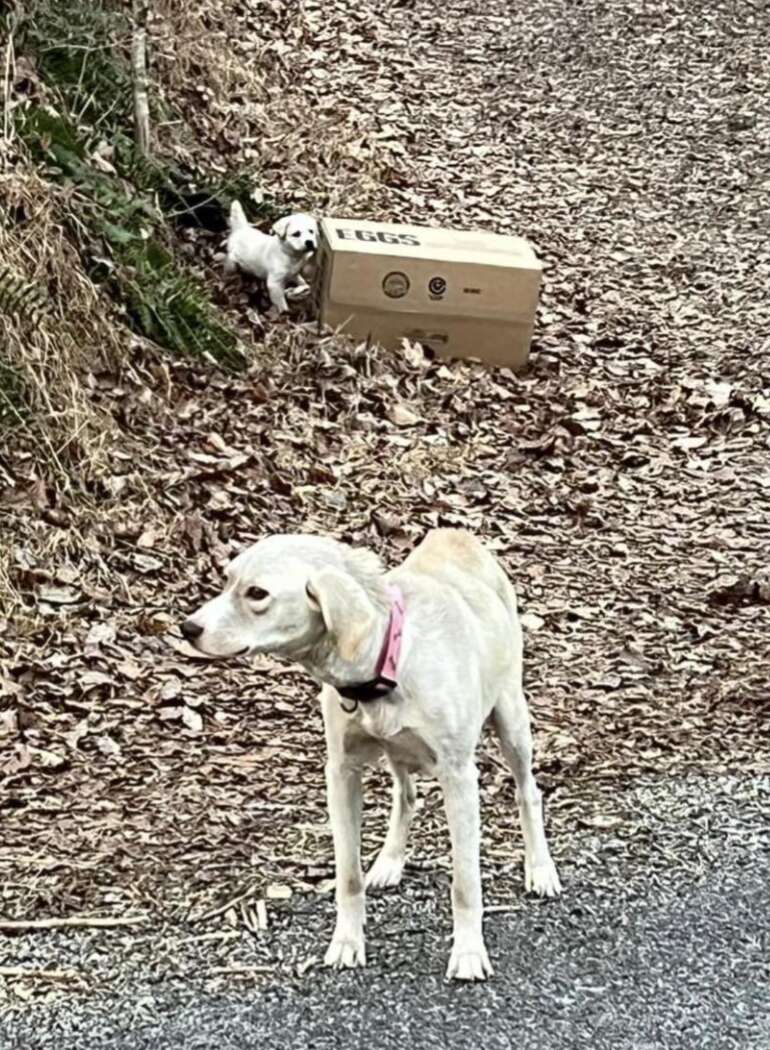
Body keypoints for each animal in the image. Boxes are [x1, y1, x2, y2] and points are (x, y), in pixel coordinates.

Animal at [182, 529, 563, 978]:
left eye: (256, 593)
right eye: (226, 580)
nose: (187, 628)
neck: (388, 657)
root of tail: (454, 533)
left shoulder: (459, 778)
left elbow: (465, 882)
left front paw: (469, 951)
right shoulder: (341, 774)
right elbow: (349, 876)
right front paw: (347, 942)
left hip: (511, 721)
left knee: (527, 792)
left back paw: (541, 869)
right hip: (396, 753)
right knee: (406, 794)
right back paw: (390, 860)